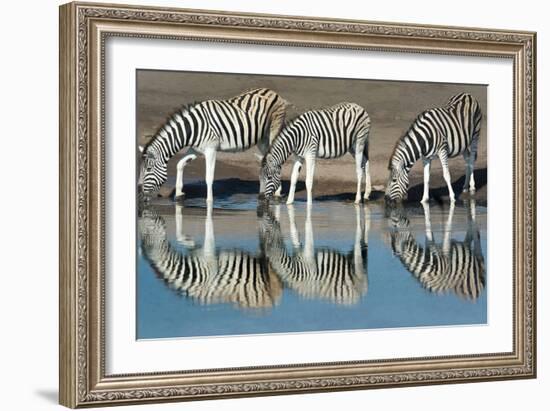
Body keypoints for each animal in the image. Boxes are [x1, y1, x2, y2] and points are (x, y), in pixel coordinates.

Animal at [138, 88, 292, 203]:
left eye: (148, 169)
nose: (139, 195)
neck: (193, 128)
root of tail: (272, 91)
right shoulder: (195, 149)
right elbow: (180, 164)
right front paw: (179, 194)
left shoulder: (211, 150)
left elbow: (209, 177)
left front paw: (209, 202)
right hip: (262, 138)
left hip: (273, 130)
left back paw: (277, 194)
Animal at [138, 206, 284, 308]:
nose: (145, 211)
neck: (190, 273)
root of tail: (274, 302)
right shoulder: (196, 252)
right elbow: (185, 241)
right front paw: (188, 239)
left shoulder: (210, 259)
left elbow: (209, 233)